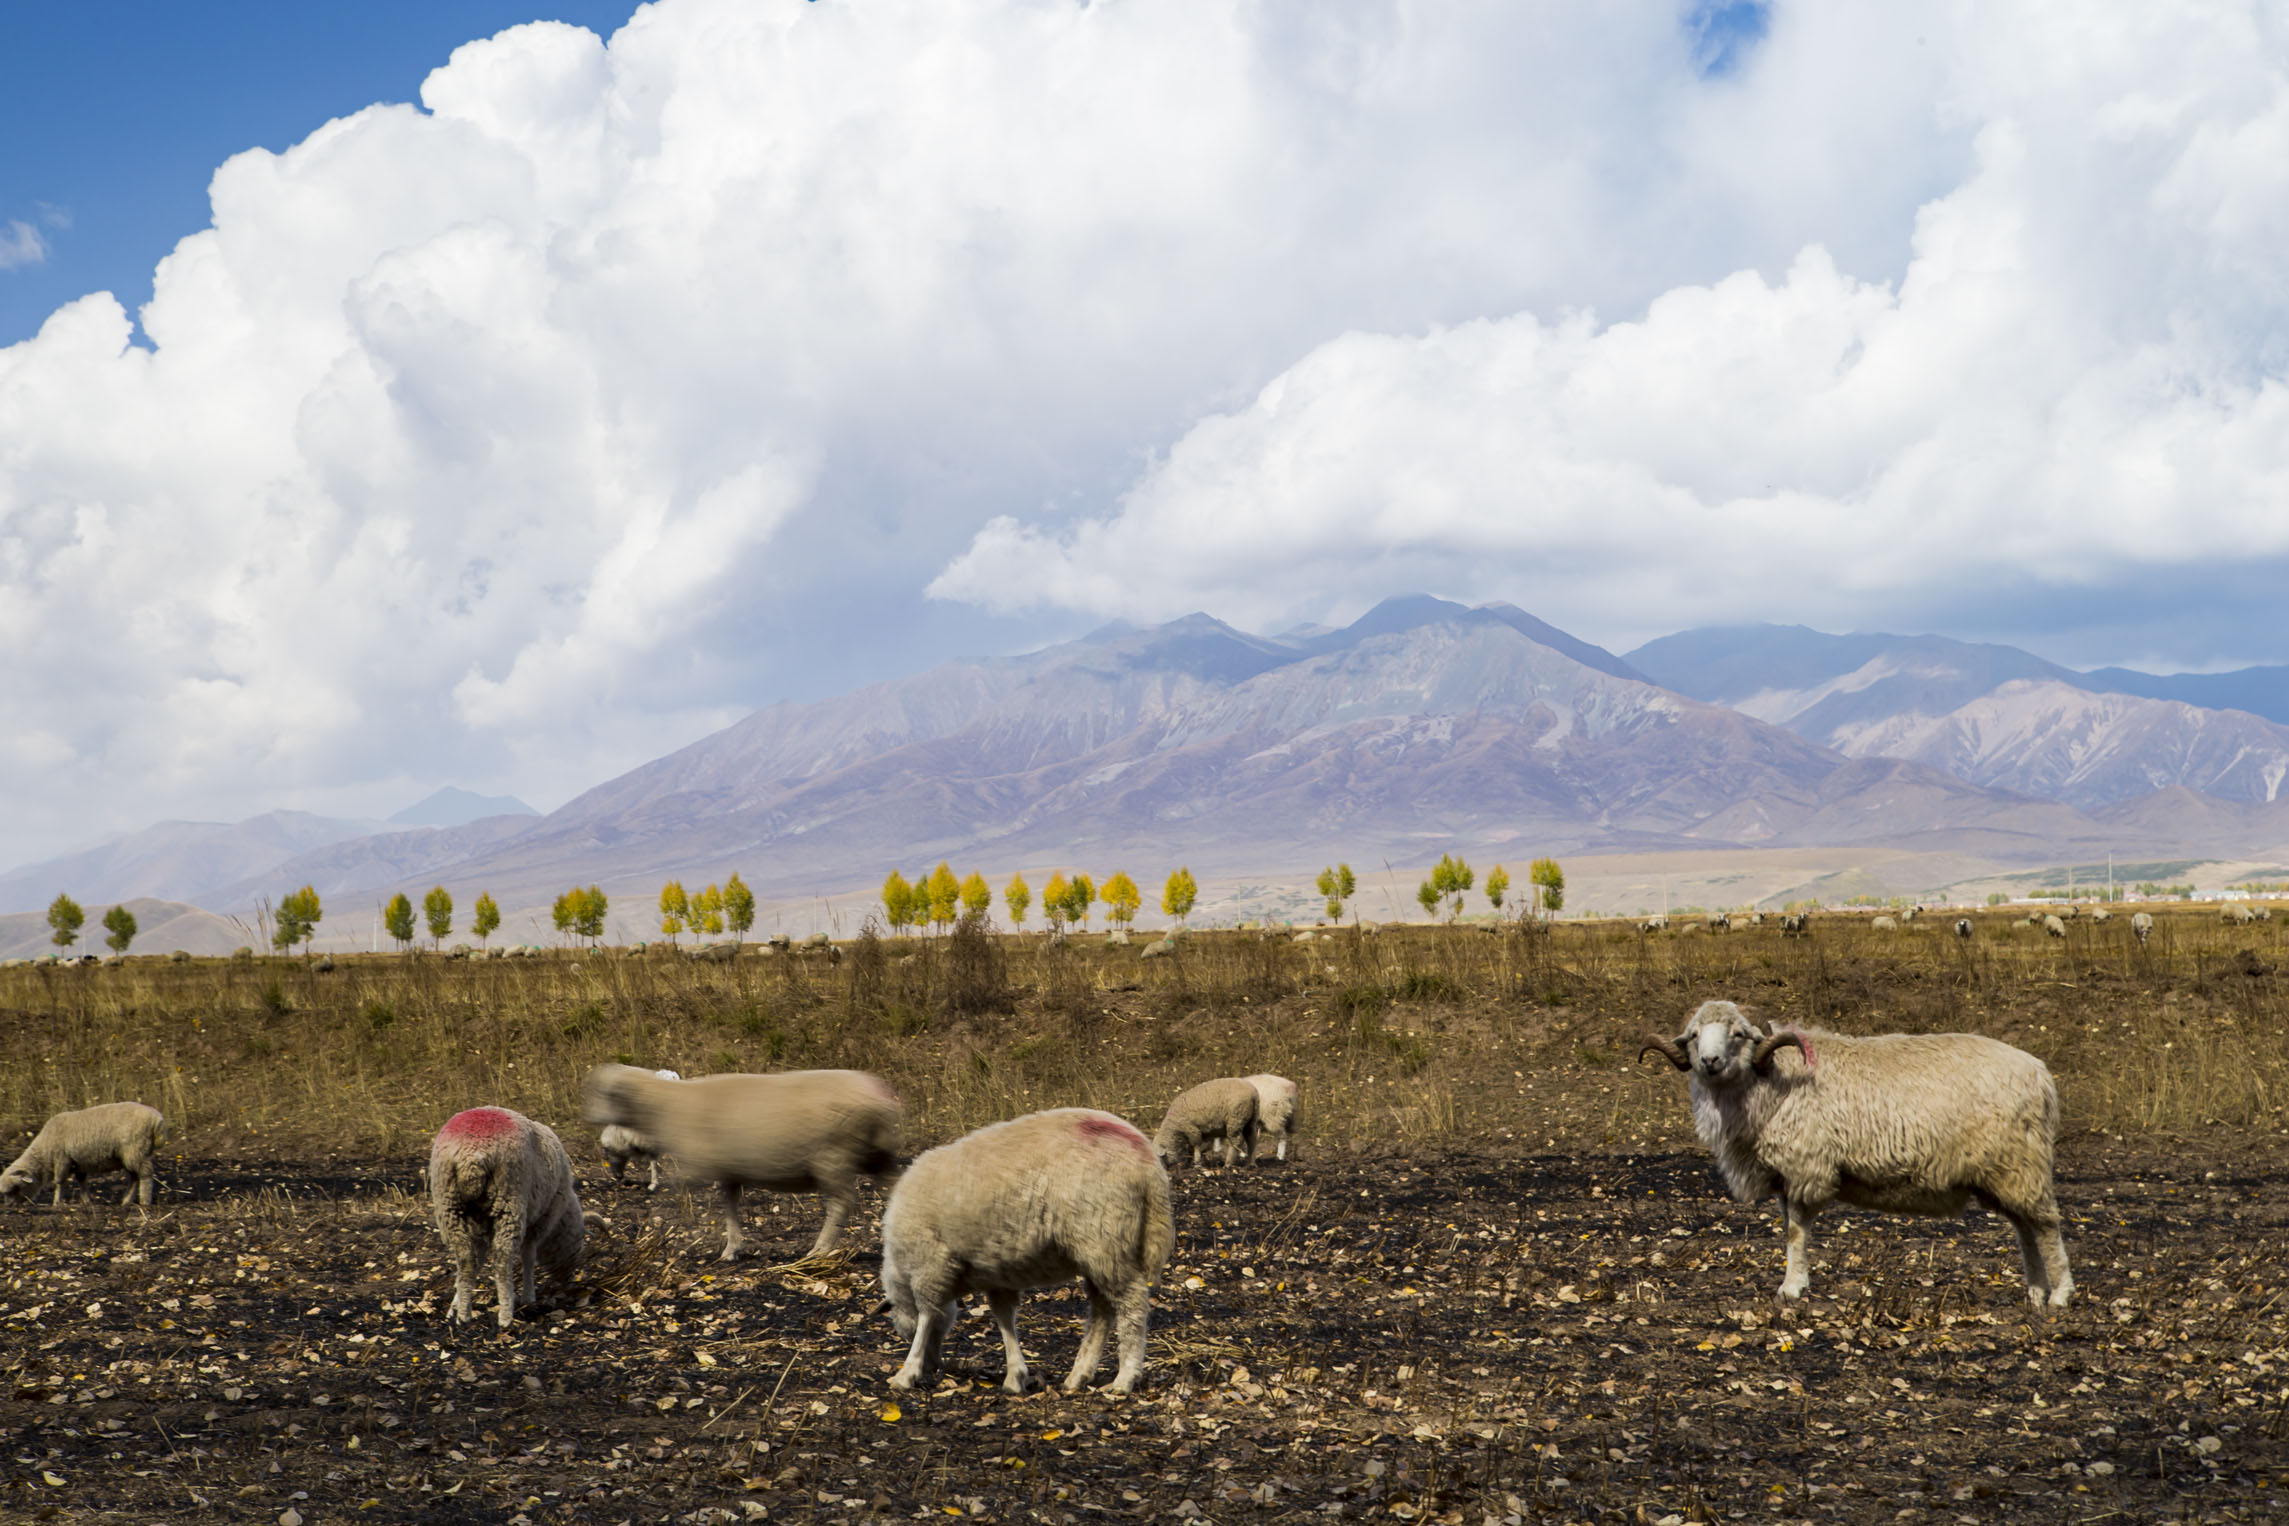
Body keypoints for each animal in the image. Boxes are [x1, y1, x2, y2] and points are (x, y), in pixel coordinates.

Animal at [0, 1102, 168, 1207]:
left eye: (15, 1188)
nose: (9, 1206)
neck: (43, 1154)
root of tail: (157, 1119)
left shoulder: (62, 1159)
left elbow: (59, 1182)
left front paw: (56, 1202)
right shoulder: (78, 1162)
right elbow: (81, 1181)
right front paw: (86, 1201)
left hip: (136, 1151)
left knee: (145, 1174)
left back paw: (145, 1200)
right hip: (130, 1155)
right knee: (134, 1177)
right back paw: (126, 1201)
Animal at [430, 1102, 585, 1326]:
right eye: (578, 1242)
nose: (570, 1280)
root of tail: (472, 1156)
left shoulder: (479, 1226)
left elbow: (478, 1262)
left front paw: (455, 1306)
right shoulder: (540, 1221)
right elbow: (529, 1257)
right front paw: (529, 1297)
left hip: (449, 1204)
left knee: (466, 1260)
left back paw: (464, 1316)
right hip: (510, 1199)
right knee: (503, 1260)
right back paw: (505, 1316)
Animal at [585, 1061, 897, 1262]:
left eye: (606, 1092)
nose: (588, 1116)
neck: (664, 1105)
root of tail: (879, 1093)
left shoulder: (703, 1164)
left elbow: (682, 1195)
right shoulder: (728, 1168)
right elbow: (729, 1204)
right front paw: (732, 1248)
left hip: (833, 1157)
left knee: (841, 1203)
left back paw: (820, 1250)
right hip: (875, 1155)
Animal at [878, 1111, 1181, 1400]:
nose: (933, 1367)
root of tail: (1147, 1163)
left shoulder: (930, 1264)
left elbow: (927, 1316)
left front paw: (907, 1372)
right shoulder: (994, 1274)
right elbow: (1004, 1318)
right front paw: (1016, 1376)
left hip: (1105, 1237)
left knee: (1131, 1304)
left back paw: (1125, 1378)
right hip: (1099, 1248)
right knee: (1102, 1310)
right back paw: (1079, 1375)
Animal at [1629, 997, 2078, 1308]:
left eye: (1738, 1033)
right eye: (1693, 1035)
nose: (1709, 1061)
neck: (1772, 1080)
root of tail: (2041, 1073)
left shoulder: (1806, 1166)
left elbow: (1795, 1231)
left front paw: (1792, 1288)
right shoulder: (1784, 1176)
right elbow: (1787, 1226)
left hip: (2021, 1163)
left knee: (2046, 1225)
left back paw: (2060, 1295)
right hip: (2003, 1172)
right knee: (2025, 1228)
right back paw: (2035, 1293)